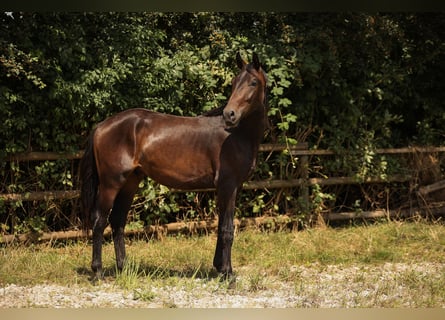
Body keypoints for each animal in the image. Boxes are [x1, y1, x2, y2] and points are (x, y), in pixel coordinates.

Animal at [79, 52, 268, 280]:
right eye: (233, 82)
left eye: (253, 82)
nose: (229, 115)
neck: (237, 135)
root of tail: (101, 126)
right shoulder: (228, 186)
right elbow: (227, 229)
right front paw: (228, 274)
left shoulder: (232, 187)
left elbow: (221, 225)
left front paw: (219, 267)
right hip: (111, 183)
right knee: (100, 221)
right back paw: (98, 271)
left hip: (130, 182)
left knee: (117, 220)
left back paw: (124, 267)